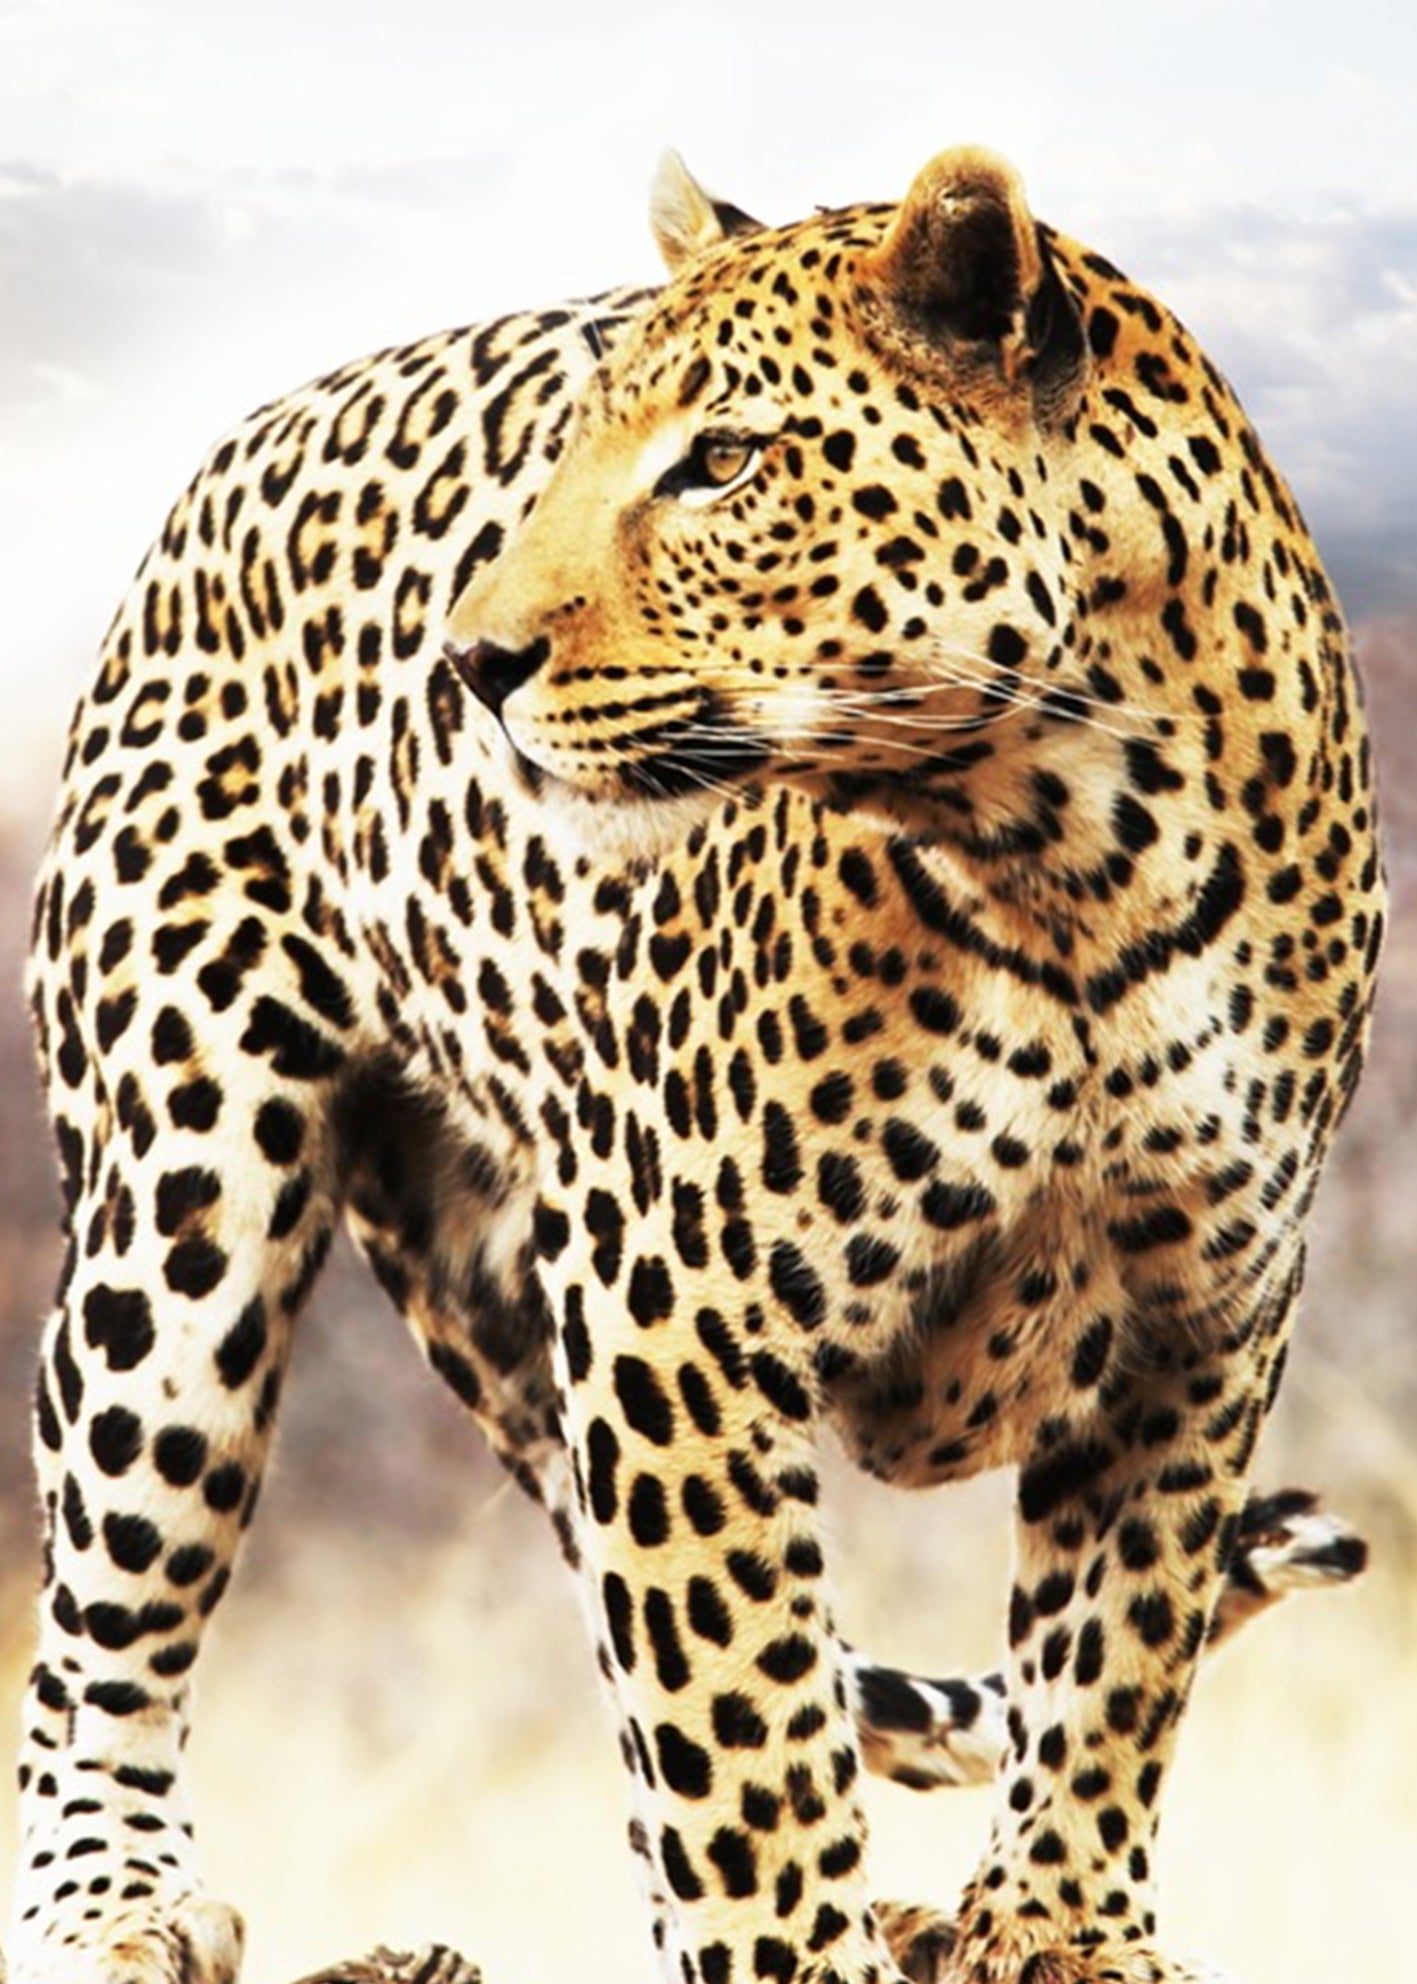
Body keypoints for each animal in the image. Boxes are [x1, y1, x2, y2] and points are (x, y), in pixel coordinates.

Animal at [8, 142, 1383, 1984]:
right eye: (579, 450)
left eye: (722, 462)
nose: (470, 663)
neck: (1076, 854)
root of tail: (228, 461)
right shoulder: (676, 1305)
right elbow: (743, 1720)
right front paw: (809, 1945)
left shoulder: (1202, 1310)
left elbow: (1114, 1646)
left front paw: (1055, 1923)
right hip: (176, 1205)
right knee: (107, 1600)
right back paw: (113, 1904)